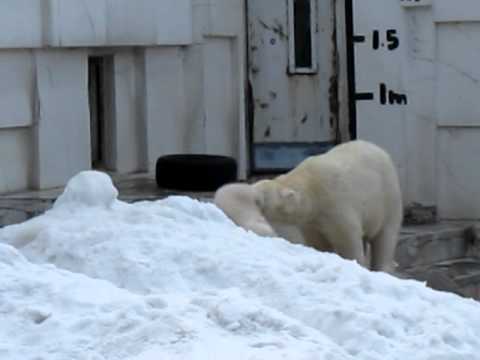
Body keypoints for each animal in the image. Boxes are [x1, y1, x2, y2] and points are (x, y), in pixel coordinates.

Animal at [253, 139, 404, 272]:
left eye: (260, 199)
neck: (311, 186)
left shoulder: (336, 203)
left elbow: (348, 238)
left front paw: (353, 262)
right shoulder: (312, 221)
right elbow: (318, 242)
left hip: (387, 198)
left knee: (385, 236)